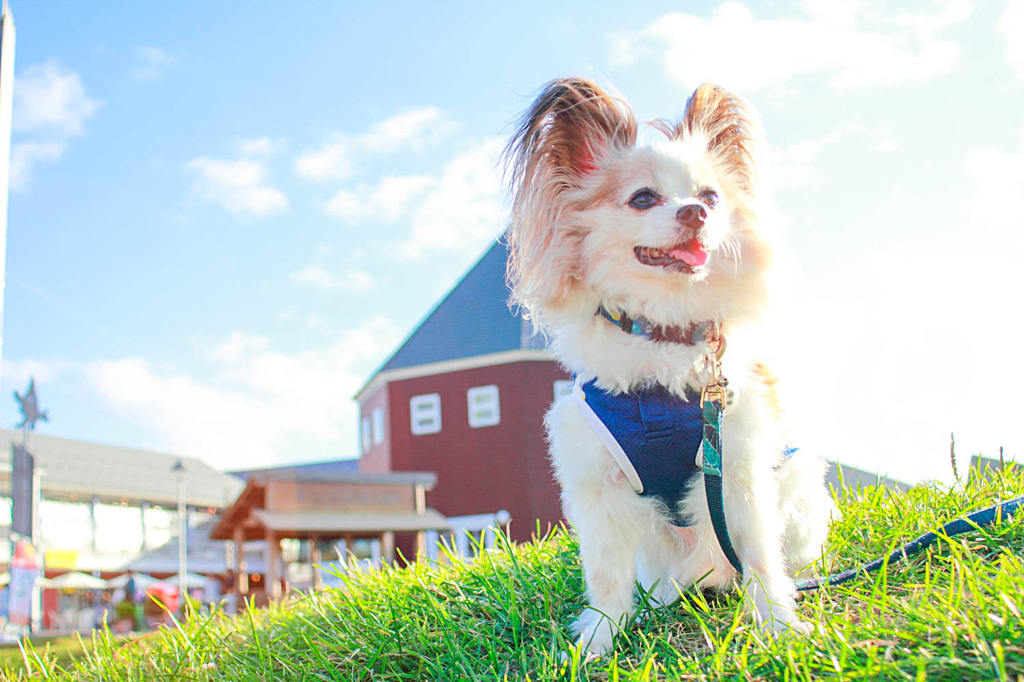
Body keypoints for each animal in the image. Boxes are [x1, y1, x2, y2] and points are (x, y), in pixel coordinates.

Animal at [503, 76, 831, 651]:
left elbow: (760, 559)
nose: (695, 212)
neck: (664, 332)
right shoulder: (601, 486)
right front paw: (599, 640)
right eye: (643, 198)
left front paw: (776, 626)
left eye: (711, 197)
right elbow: (607, 576)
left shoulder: (734, 467)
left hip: (796, 482)